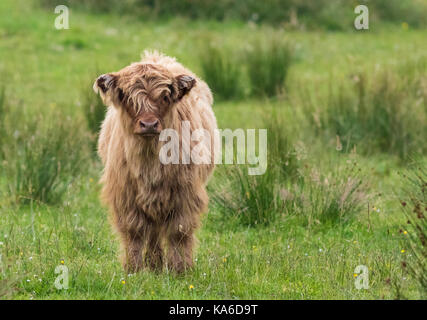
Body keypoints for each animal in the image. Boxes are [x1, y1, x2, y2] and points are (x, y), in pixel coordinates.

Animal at [95, 50, 219, 272]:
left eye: (165, 96)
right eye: (128, 97)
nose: (149, 124)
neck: (150, 161)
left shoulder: (185, 193)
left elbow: (179, 232)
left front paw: (180, 269)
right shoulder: (125, 194)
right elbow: (134, 231)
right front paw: (133, 269)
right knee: (153, 231)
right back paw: (154, 265)